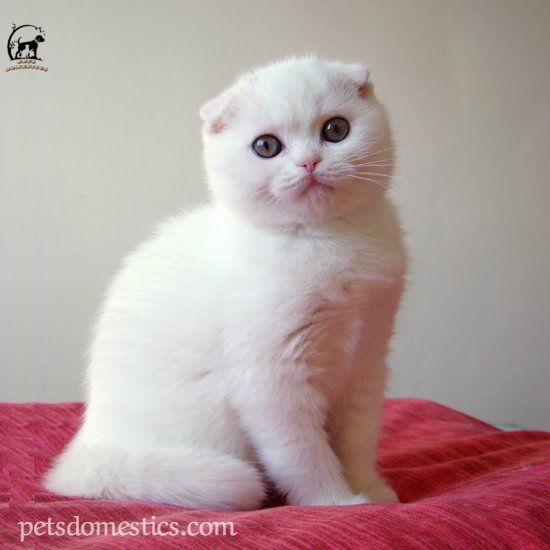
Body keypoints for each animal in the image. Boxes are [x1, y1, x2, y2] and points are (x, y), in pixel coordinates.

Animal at [46, 58, 410, 512]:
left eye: (336, 129)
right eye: (266, 146)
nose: (309, 162)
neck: (325, 237)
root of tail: (88, 449)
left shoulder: (367, 360)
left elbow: (357, 440)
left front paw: (372, 491)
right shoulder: (272, 377)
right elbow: (304, 453)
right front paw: (335, 501)